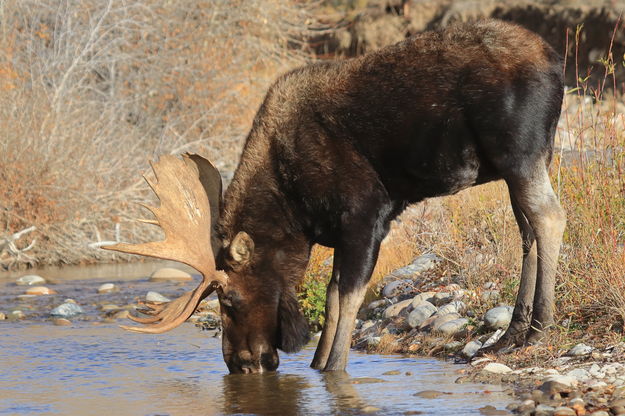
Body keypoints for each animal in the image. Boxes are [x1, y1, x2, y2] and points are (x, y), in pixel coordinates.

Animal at [106, 18, 564, 374]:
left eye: (229, 299)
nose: (239, 363)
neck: (292, 211)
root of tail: (553, 60)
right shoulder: (340, 232)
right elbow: (331, 296)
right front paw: (316, 363)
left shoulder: (367, 215)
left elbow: (350, 297)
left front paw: (334, 369)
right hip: (521, 161)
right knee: (527, 233)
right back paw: (509, 334)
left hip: (518, 152)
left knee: (549, 217)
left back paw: (539, 327)